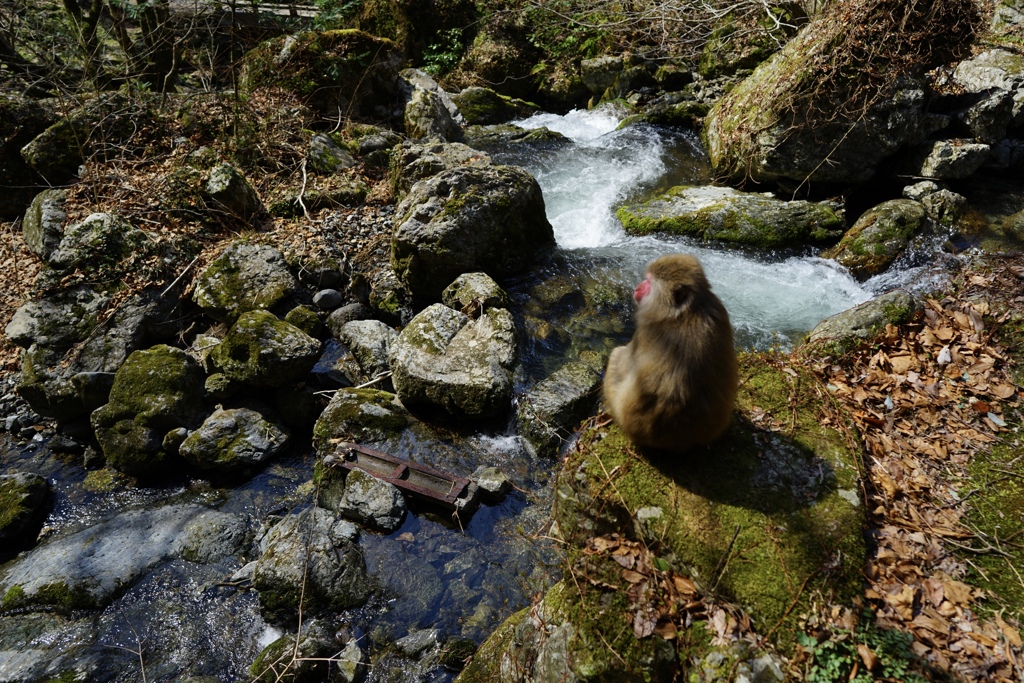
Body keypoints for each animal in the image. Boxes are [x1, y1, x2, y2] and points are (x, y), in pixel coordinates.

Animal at [598, 253, 737, 450]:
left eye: (649, 282)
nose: (638, 287)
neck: (685, 313)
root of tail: (682, 442)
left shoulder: (643, 332)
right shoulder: (719, 310)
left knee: (615, 355)